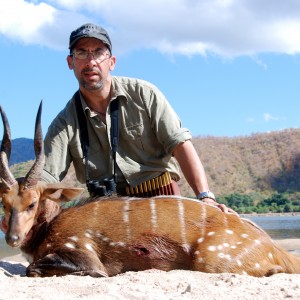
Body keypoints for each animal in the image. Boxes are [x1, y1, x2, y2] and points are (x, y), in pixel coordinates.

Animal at [0, 104, 300, 278]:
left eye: (32, 203)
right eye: (4, 203)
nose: (12, 238)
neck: (49, 228)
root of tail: (276, 249)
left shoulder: (84, 254)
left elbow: (35, 269)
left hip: (212, 260)